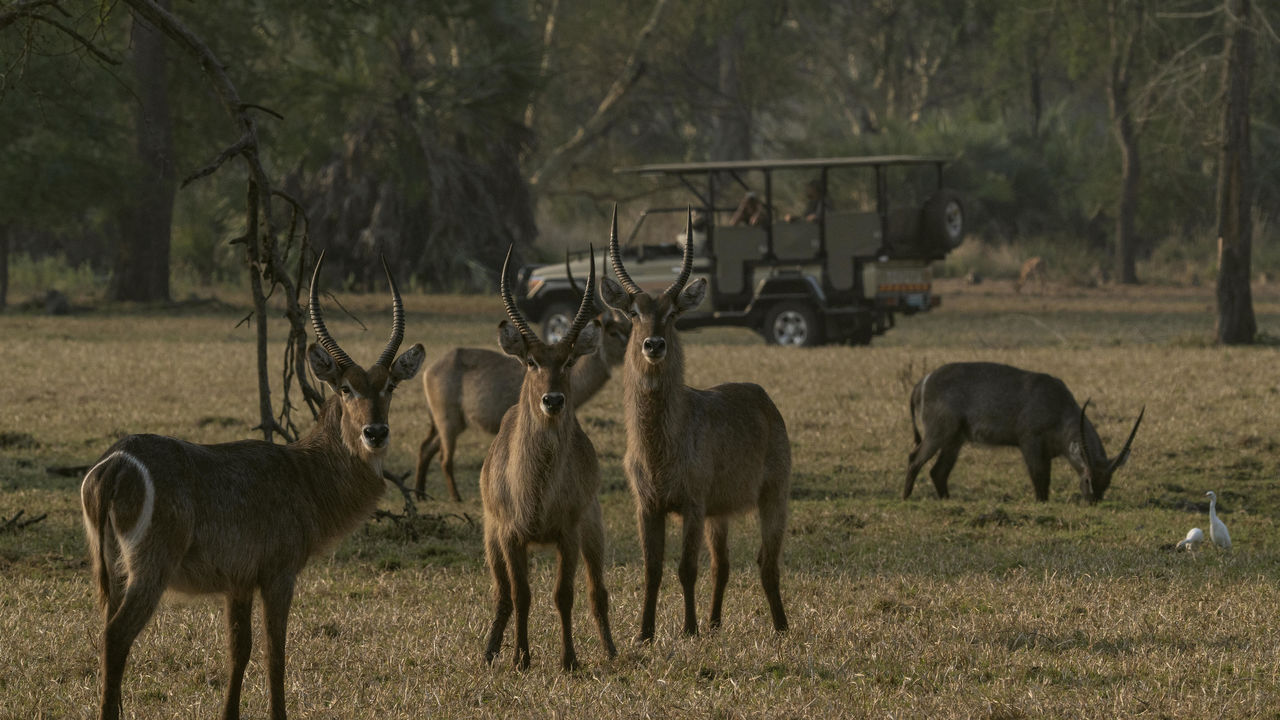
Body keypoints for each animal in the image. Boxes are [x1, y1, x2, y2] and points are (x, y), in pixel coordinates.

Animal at [82, 257, 427, 717]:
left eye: (389, 386)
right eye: (345, 387)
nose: (375, 432)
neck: (305, 473)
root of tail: (118, 461)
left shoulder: (239, 582)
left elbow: (239, 651)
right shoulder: (279, 573)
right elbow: (275, 653)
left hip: (113, 569)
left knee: (107, 633)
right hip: (150, 566)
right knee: (116, 636)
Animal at [414, 256, 629, 499]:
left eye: (627, 327)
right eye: (614, 332)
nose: (636, 347)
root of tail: (431, 368)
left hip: (449, 423)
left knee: (425, 448)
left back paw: (420, 494)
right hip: (448, 423)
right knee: (444, 458)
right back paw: (456, 498)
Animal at [481, 243, 616, 671]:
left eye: (569, 361)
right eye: (531, 361)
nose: (552, 400)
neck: (535, 486)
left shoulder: (567, 534)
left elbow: (563, 595)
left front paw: (569, 658)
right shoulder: (510, 536)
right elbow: (521, 595)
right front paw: (521, 659)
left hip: (594, 528)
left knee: (597, 590)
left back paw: (611, 650)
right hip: (490, 538)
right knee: (502, 595)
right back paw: (489, 652)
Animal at [599, 207, 788, 638]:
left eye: (672, 314)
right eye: (634, 313)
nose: (653, 345)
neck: (660, 445)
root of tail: (763, 397)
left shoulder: (693, 503)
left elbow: (686, 568)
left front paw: (689, 629)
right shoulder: (647, 506)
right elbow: (652, 570)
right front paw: (644, 633)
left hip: (773, 495)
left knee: (766, 562)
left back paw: (781, 627)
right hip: (720, 513)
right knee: (723, 565)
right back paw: (716, 622)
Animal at [906, 358, 1146, 499]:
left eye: (1107, 482)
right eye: (1088, 479)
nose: (1092, 501)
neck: (1058, 406)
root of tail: (920, 383)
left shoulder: (1047, 452)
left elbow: (1045, 479)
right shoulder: (1030, 442)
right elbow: (1040, 478)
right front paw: (1042, 503)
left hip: (955, 439)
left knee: (938, 471)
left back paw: (946, 500)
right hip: (939, 433)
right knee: (914, 458)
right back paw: (906, 498)